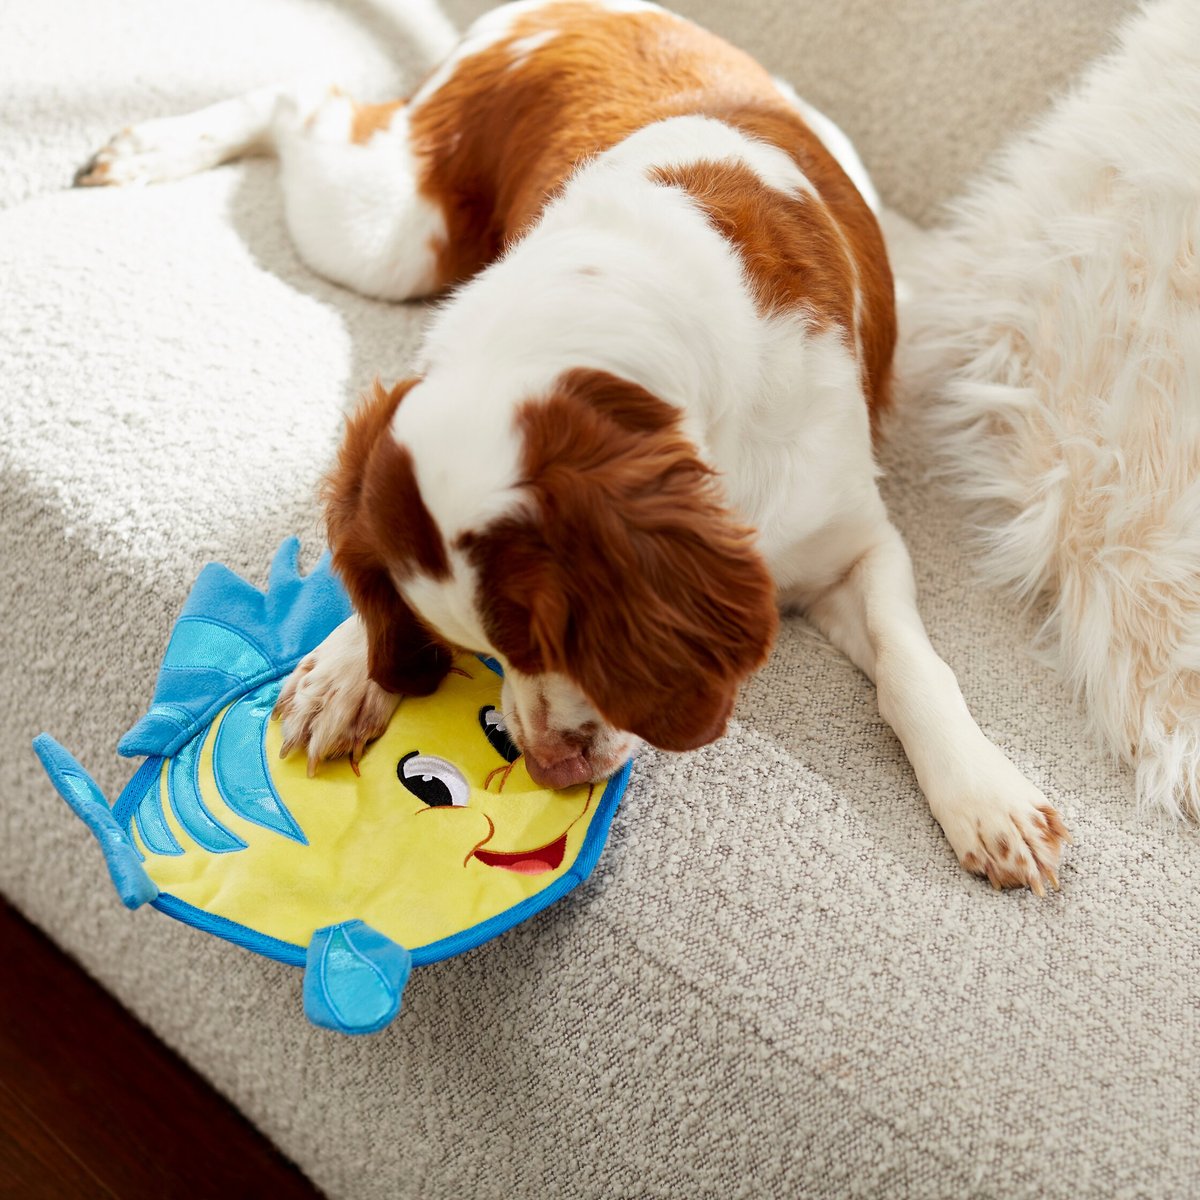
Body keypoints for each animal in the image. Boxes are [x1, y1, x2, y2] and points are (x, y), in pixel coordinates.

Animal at [77, 0, 1070, 888]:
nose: (549, 765)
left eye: (566, 638)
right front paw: (349, 665)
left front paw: (985, 796)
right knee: (303, 97)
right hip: (389, 236)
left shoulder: (854, 542)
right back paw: (144, 151)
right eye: (487, 650)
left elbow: (913, 666)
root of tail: (566, 7)